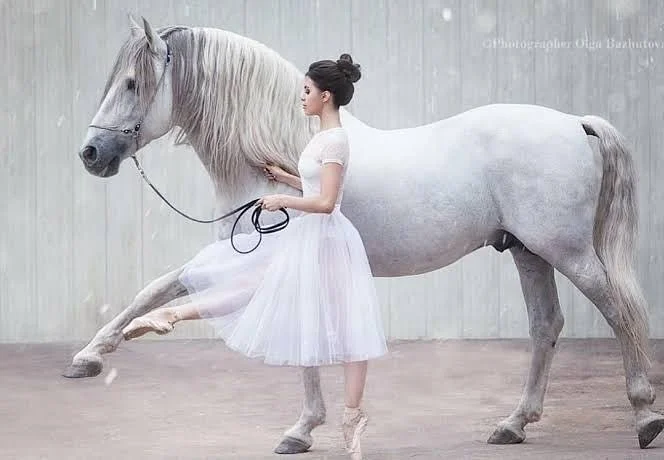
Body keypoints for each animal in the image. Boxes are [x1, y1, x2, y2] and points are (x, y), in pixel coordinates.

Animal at [66, 16, 664, 452]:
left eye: (133, 83)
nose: (91, 154)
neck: (276, 156)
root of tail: (576, 123)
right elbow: (161, 287)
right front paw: (90, 356)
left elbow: (174, 290)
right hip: (528, 251)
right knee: (546, 325)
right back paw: (513, 424)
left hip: (568, 252)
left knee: (620, 311)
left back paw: (643, 416)